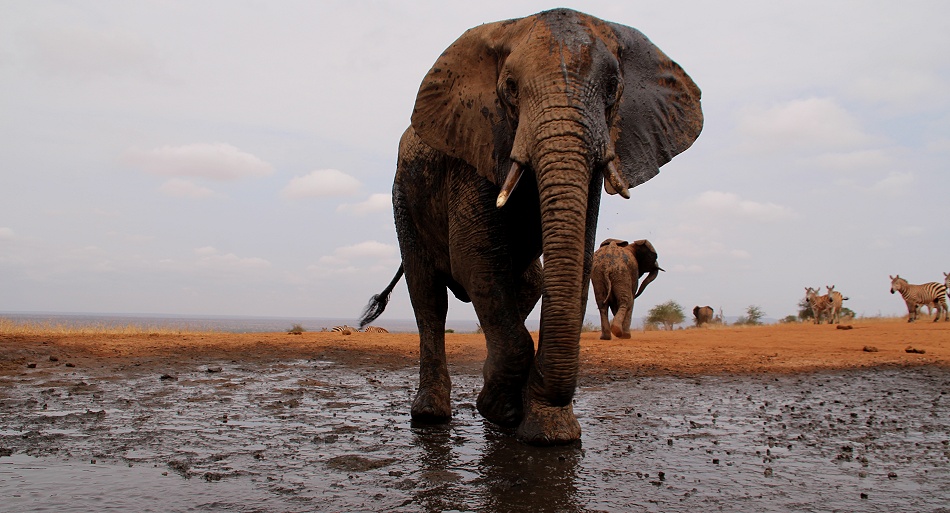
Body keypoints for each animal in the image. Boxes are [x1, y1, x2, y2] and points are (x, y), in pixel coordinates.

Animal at [359, 9, 702, 445]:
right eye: (510, 89)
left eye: (613, 89)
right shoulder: (475, 144)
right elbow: (475, 257)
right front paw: (505, 414)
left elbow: (576, 257)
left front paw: (543, 430)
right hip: (403, 197)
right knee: (428, 296)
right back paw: (430, 416)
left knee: (528, 284)